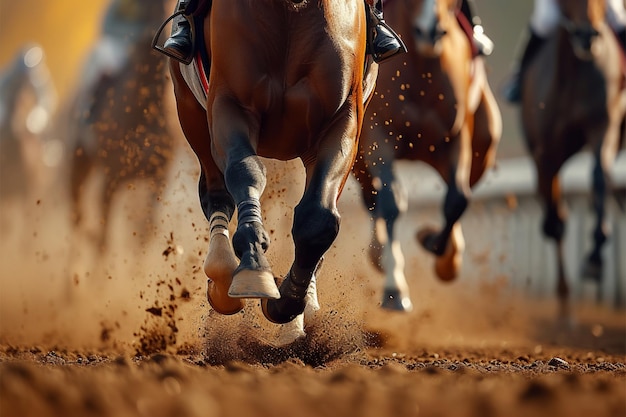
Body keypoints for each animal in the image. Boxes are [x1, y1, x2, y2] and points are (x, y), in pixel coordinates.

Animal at [65, 0, 173, 260]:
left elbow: (143, 236)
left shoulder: (157, 177)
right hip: (78, 162)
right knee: (77, 217)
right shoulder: (111, 178)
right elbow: (103, 241)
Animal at [166, 0, 376, 332]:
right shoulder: (229, 104)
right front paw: (254, 263)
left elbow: (318, 218)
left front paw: (289, 301)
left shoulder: (343, 118)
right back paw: (222, 274)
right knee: (216, 193)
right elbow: (245, 172)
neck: (290, 10)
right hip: (190, 110)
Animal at [352, 0, 502, 310]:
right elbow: (391, 201)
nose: (430, 30)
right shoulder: (377, 136)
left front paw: (441, 254)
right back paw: (379, 255)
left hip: (484, 143)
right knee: (372, 197)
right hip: (358, 156)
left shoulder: (455, 138)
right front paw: (394, 289)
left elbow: (457, 199)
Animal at [516, 0, 624, 316]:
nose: (588, 36)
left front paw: (595, 257)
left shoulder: (605, 125)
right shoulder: (545, 150)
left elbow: (599, 176)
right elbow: (554, 217)